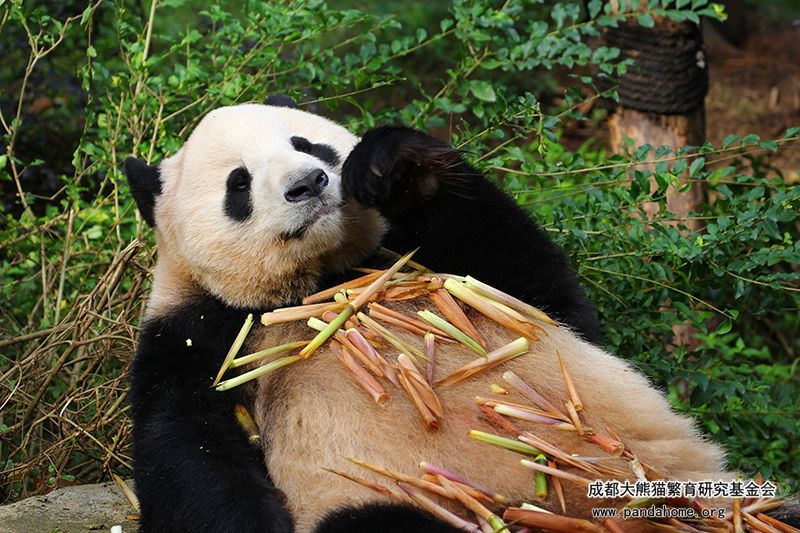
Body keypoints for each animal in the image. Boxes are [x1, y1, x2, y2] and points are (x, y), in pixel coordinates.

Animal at [124, 96, 730, 533]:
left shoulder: (455, 275)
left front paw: (392, 166)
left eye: (307, 143)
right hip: (406, 498)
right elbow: (186, 448)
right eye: (239, 183)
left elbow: (542, 290)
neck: (321, 285)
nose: (309, 183)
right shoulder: (201, 334)